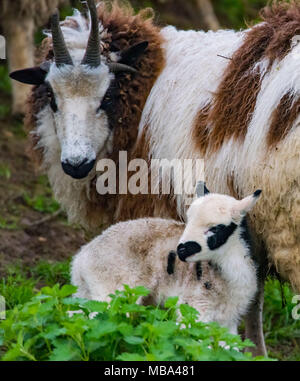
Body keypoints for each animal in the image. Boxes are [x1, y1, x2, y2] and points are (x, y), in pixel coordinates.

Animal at [72, 186, 260, 334]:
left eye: (214, 229)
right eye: (188, 221)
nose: (181, 251)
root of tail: (81, 259)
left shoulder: (228, 320)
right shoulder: (194, 307)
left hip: (87, 292)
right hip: (114, 291)